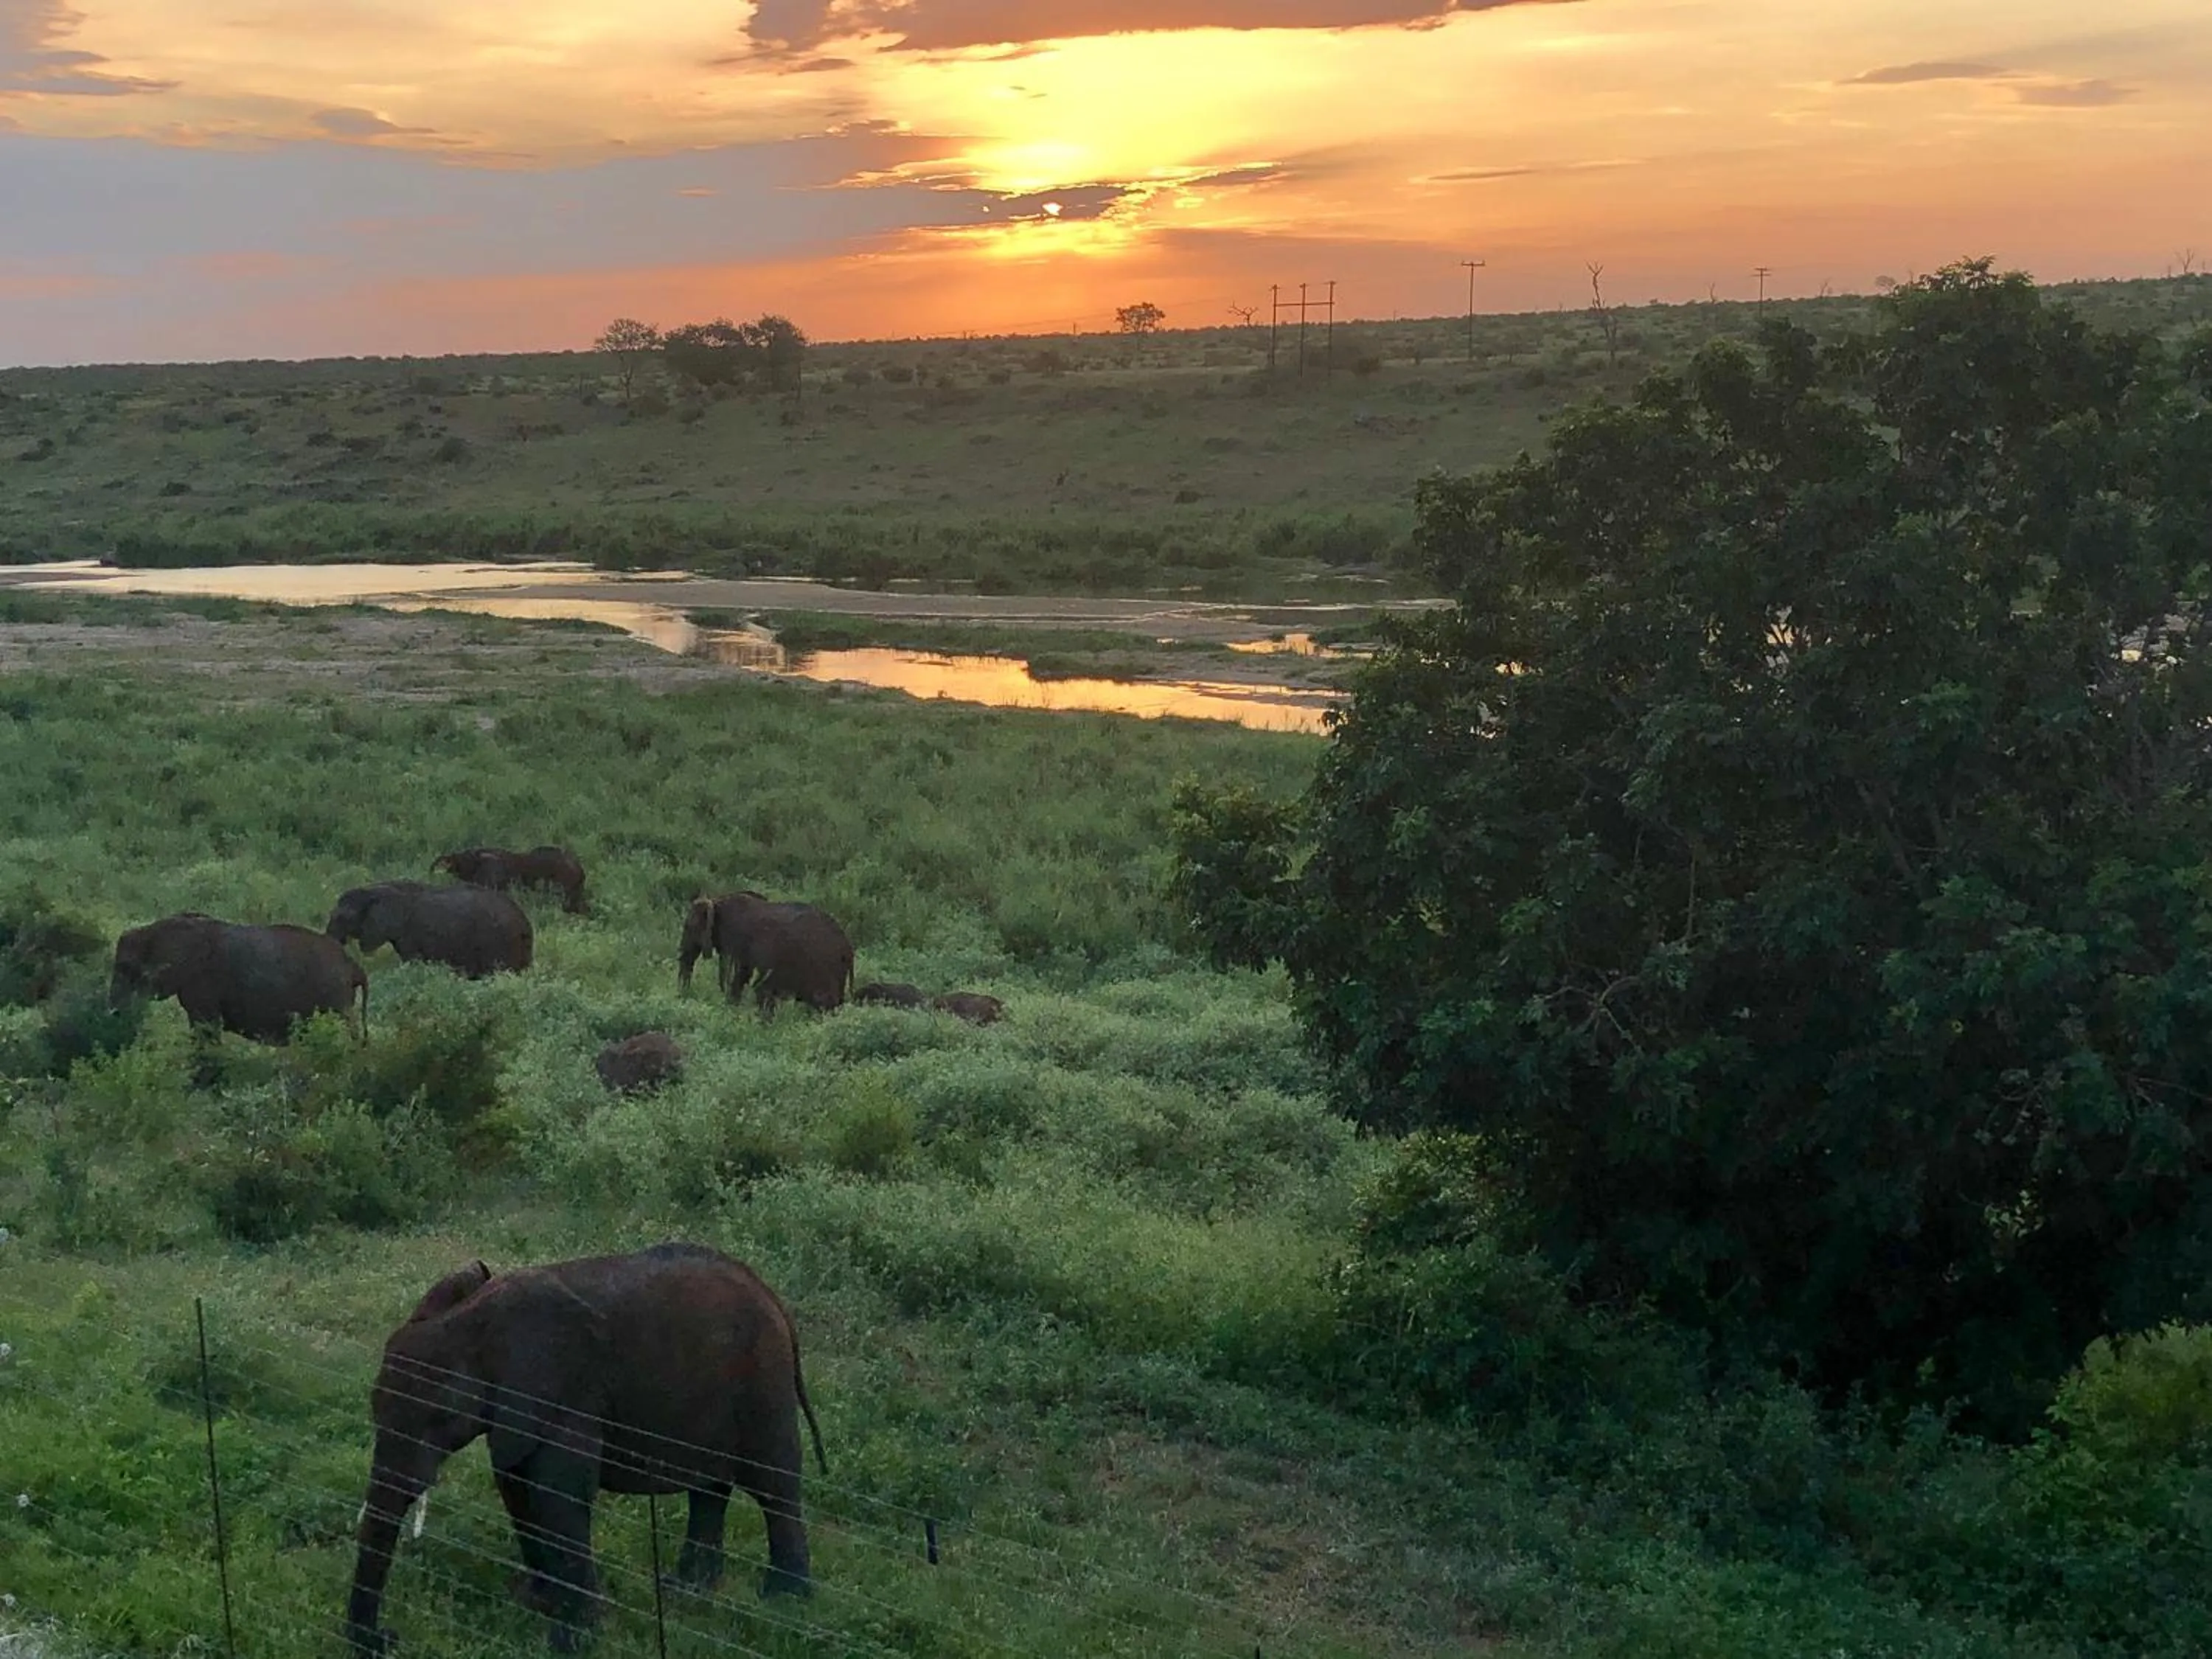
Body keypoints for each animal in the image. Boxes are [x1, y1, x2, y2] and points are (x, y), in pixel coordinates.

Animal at [109, 912, 367, 1045]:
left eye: (124, 967)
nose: (115, 1014)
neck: (154, 929)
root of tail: (354, 965)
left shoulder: (200, 982)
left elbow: (206, 1029)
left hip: (334, 997)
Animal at [345, 1241, 827, 1657]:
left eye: (439, 1416)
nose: (388, 1638)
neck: (476, 1323)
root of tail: (772, 1296)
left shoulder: (568, 1397)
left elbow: (558, 1497)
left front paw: (571, 1642)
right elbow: (515, 1485)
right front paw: (538, 1602)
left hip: (764, 1379)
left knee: (774, 1484)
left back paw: (784, 1600)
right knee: (710, 1487)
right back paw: (688, 1590)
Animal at [677, 892, 853, 1017]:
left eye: (688, 927)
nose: (683, 996)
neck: (717, 900)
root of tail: (848, 948)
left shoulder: (735, 940)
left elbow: (735, 975)